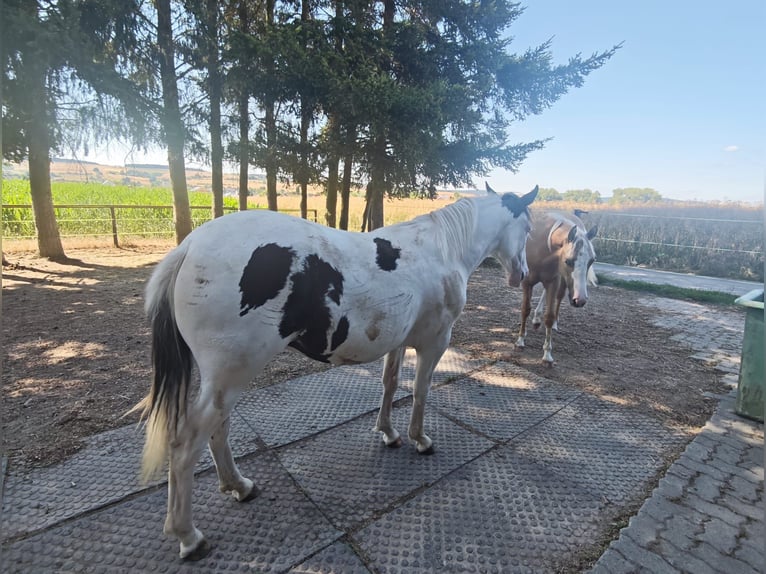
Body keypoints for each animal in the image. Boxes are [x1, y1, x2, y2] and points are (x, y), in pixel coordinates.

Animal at [130, 184, 538, 560]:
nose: (522, 274)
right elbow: (420, 392)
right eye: (529, 227)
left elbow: (390, 385)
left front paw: (388, 433)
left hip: (222, 379)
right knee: (186, 444)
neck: (441, 248)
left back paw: (239, 486)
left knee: (218, 430)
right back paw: (188, 535)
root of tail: (188, 248)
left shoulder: (399, 342)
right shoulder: (433, 343)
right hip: (229, 376)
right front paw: (419, 439)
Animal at [515, 210, 597, 364]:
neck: (541, 248)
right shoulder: (527, 282)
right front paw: (520, 340)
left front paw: (547, 354)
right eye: (568, 261)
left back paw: (550, 323)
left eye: (591, 260)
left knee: (558, 297)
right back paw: (536, 319)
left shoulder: (554, 282)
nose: (580, 300)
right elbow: (525, 309)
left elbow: (550, 316)